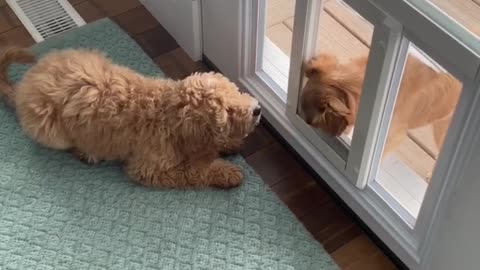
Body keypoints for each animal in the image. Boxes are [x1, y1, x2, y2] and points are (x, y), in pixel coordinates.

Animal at [0, 46, 262, 188]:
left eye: (236, 91)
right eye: (227, 112)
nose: (257, 110)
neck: (166, 113)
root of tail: (24, 87)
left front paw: (228, 144)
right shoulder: (148, 168)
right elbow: (194, 171)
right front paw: (227, 173)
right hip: (51, 130)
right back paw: (88, 153)